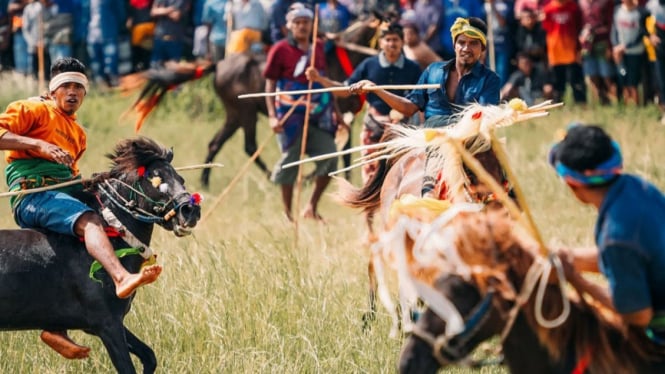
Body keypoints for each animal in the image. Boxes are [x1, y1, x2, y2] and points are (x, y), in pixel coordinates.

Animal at [0, 138, 200, 374]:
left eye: (181, 179)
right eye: (156, 179)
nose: (190, 210)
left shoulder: (103, 324)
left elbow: (149, 356)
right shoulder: (106, 324)